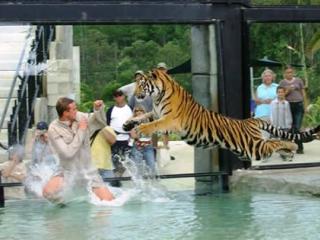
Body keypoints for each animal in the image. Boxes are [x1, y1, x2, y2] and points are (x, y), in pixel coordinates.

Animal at [123, 69, 320, 161]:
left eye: (141, 84)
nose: (136, 94)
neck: (157, 96)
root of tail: (251, 119)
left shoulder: (170, 120)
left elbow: (153, 125)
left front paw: (141, 129)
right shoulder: (156, 113)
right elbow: (143, 116)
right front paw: (128, 124)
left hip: (253, 147)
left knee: (275, 142)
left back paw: (292, 147)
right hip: (248, 150)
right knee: (274, 143)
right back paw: (289, 152)